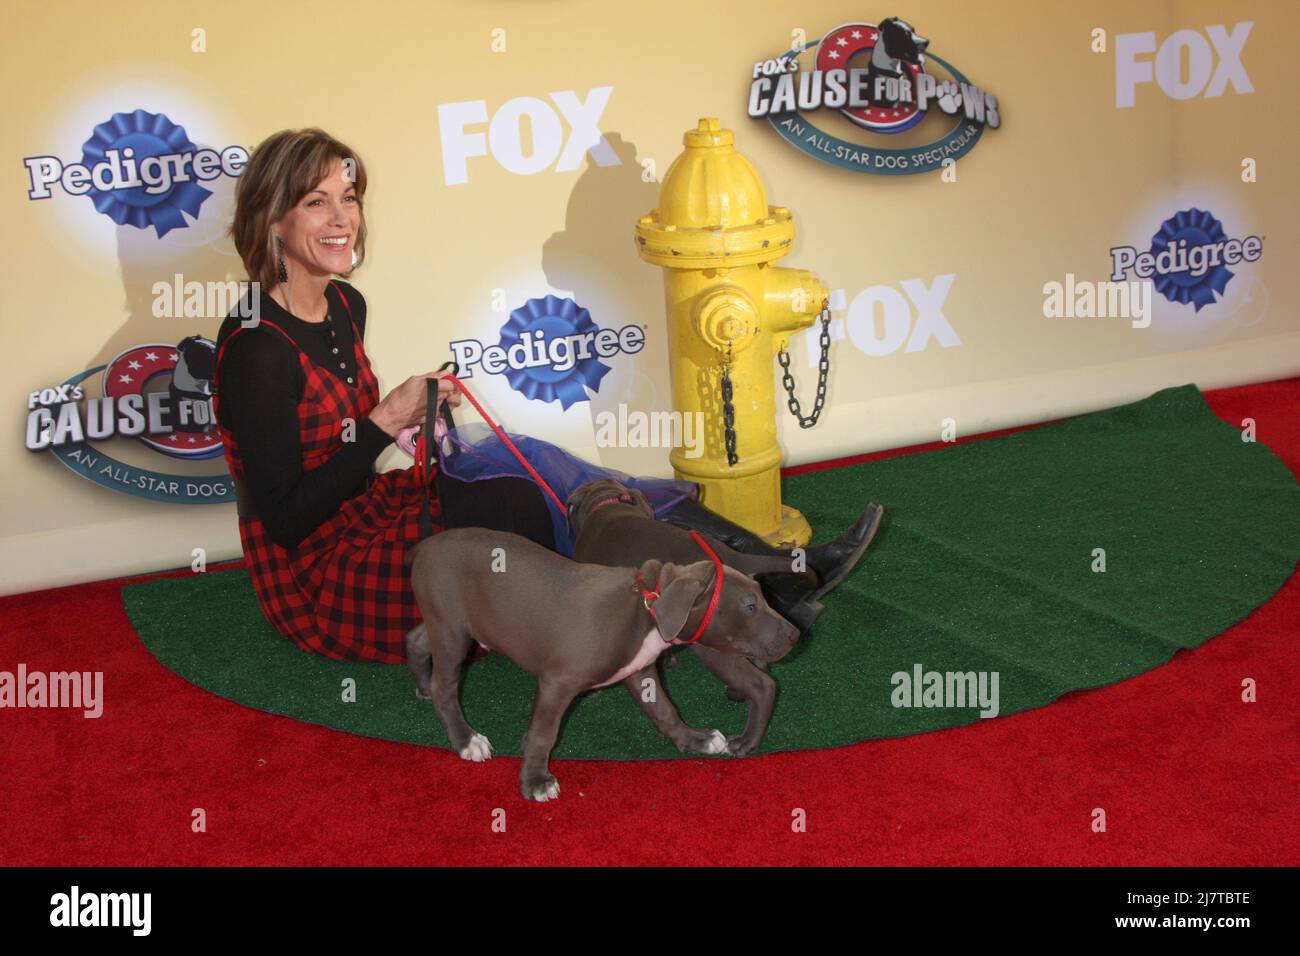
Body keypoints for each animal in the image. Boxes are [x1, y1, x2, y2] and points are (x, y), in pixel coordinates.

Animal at [405, 528, 795, 806]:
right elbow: (544, 734)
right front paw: (535, 781)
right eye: (749, 606)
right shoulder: (557, 683)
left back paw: (421, 685)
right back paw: (465, 739)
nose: (795, 635)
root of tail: (424, 547)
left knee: (417, 640)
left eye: (764, 595)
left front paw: (693, 739)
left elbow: (665, 710)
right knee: (445, 687)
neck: (646, 608)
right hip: (452, 630)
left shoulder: (639, 673)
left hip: (448, 624)